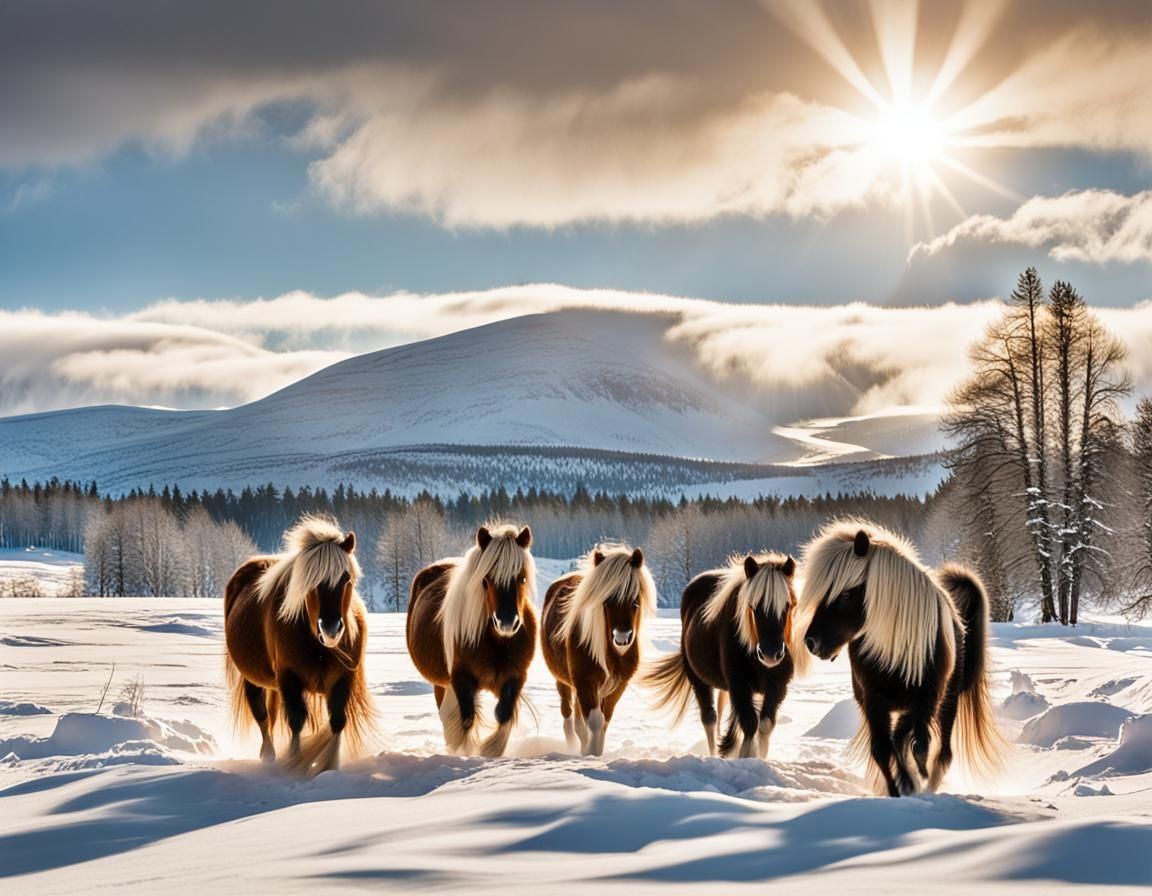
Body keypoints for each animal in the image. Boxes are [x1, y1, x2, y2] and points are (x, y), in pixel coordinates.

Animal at [224, 515, 374, 775]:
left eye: (346, 578)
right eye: (311, 581)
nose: (331, 628)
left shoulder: (343, 678)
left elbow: (337, 721)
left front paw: (330, 769)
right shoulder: (289, 679)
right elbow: (296, 721)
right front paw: (293, 765)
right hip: (252, 678)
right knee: (262, 715)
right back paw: (269, 757)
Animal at [406, 523, 536, 757]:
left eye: (522, 578)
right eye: (486, 580)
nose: (506, 623)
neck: (498, 643)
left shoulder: (516, 676)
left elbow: (503, 715)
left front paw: (490, 751)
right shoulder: (461, 678)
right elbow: (466, 719)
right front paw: (465, 753)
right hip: (442, 683)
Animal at [541, 544, 657, 755]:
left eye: (635, 602)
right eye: (607, 601)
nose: (622, 638)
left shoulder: (618, 684)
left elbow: (605, 720)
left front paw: (595, 751)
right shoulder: (585, 681)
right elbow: (595, 721)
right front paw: (591, 753)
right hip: (563, 681)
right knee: (568, 714)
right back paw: (572, 745)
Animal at [644, 552, 807, 759]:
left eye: (789, 605)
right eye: (753, 606)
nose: (770, 654)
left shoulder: (777, 684)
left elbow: (765, 725)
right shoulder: (738, 683)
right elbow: (749, 724)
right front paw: (745, 757)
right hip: (697, 678)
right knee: (710, 719)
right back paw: (714, 753)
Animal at [798, 519, 1004, 797]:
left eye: (845, 594)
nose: (811, 642)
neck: (894, 650)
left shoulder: (926, 699)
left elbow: (921, 748)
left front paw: (919, 782)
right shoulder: (874, 700)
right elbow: (883, 752)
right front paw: (900, 789)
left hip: (944, 702)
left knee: (941, 751)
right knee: (898, 739)